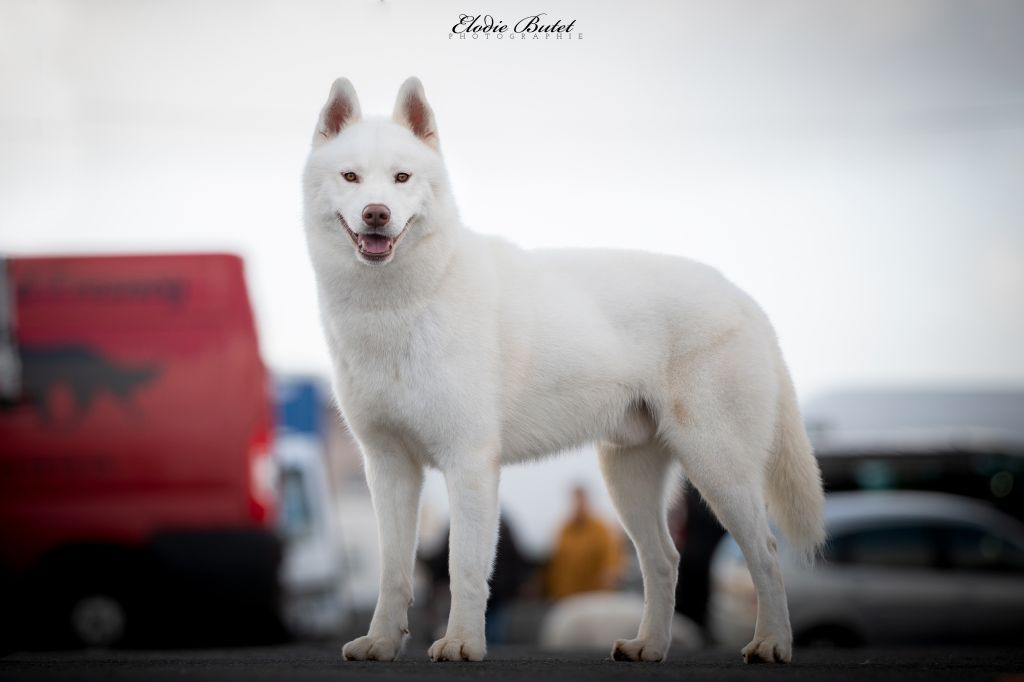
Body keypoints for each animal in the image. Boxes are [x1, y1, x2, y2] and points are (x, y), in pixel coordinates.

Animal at [301, 76, 823, 659]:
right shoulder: (388, 467)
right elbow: (394, 572)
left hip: (718, 467)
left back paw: (771, 644)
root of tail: (746, 299)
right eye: (350, 177)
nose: (376, 213)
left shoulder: (469, 463)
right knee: (664, 561)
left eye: (401, 178)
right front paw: (381, 643)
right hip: (627, 477)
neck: (400, 306)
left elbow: (463, 568)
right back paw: (648, 646)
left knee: (767, 553)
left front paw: (461, 644)